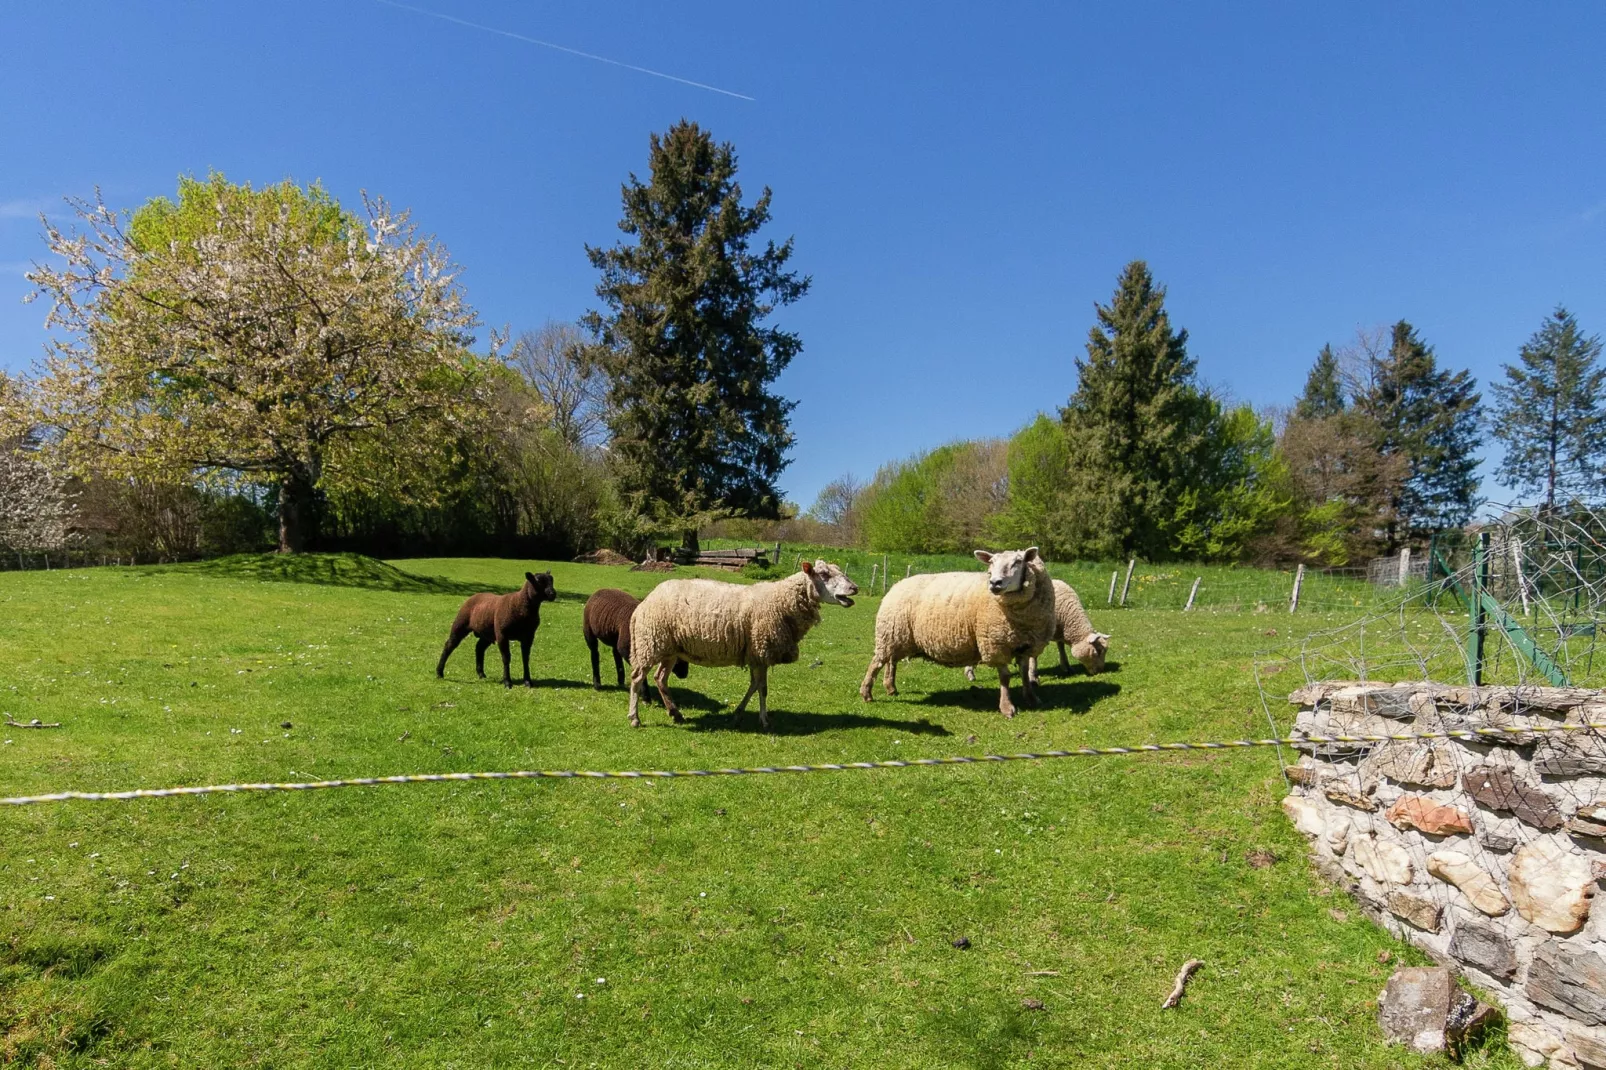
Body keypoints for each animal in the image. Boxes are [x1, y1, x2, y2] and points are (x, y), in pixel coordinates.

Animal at [623, 559, 860, 726]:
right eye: (824, 574)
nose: (855, 588)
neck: (782, 601)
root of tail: (644, 602)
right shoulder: (762, 649)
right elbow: (762, 688)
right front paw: (764, 720)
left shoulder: (756, 654)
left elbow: (755, 685)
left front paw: (739, 713)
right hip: (650, 643)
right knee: (637, 678)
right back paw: (635, 718)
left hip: (670, 649)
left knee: (660, 678)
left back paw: (676, 713)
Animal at [860, 546, 1059, 713]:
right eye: (991, 563)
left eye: (1018, 562)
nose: (995, 583)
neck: (1021, 619)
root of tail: (897, 585)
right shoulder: (994, 643)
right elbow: (1005, 677)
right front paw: (1006, 707)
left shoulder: (1027, 644)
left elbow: (1024, 674)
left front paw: (1032, 699)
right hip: (888, 633)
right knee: (876, 662)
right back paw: (867, 693)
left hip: (897, 636)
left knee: (891, 661)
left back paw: (890, 687)